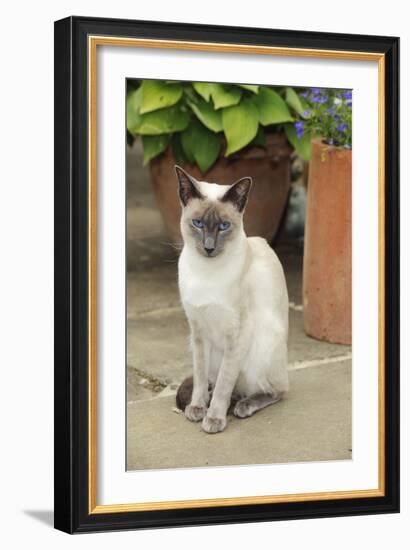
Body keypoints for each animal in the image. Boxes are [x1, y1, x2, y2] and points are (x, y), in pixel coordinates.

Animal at [175, 166, 288, 434]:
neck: (205, 273)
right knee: (214, 382)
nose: (208, 247)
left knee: (276, 389)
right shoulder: (198, 331)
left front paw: (214, 419)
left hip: (262, 345)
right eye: (197, 223)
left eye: (224, 226)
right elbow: (200, 377)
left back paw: (242, 406)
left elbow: (225, 383)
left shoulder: (237, 333)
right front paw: (197, 408)